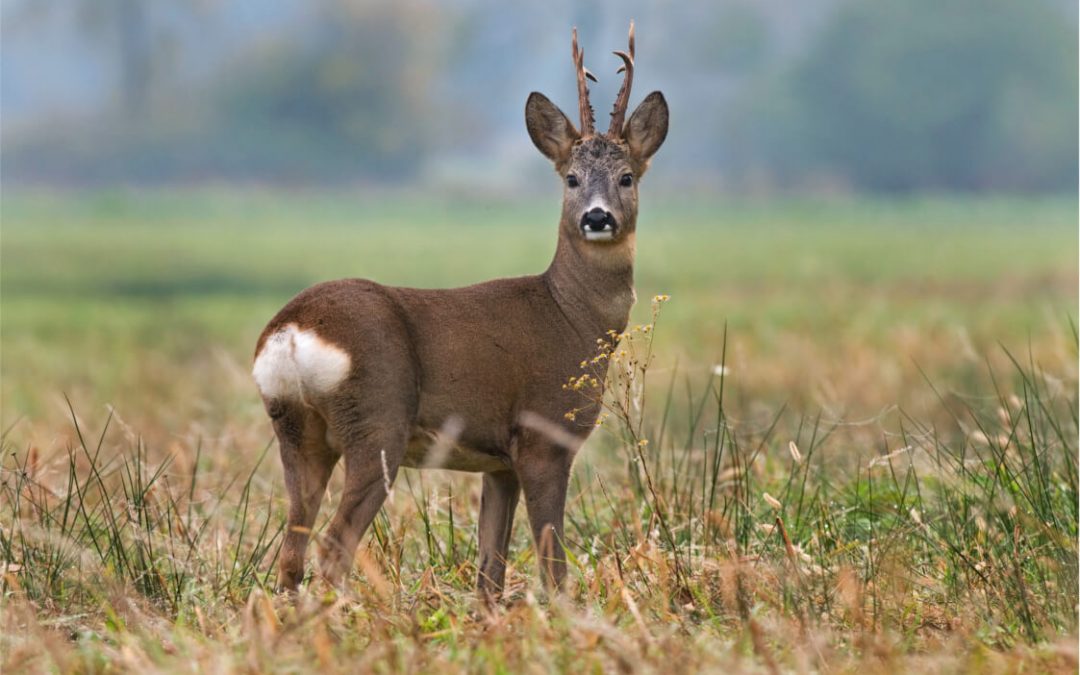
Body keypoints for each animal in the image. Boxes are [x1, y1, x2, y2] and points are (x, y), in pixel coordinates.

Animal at [252, 23, 668, 600]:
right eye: (571, 178)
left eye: (627, 176)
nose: (598, 217)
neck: (571, 316)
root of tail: (291, 331)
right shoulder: (542, 436)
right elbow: (552, 563)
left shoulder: (500, 464)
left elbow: (489, 572)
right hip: (377, 422)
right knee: (333, 545)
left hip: (297, 431)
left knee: (291, 552)